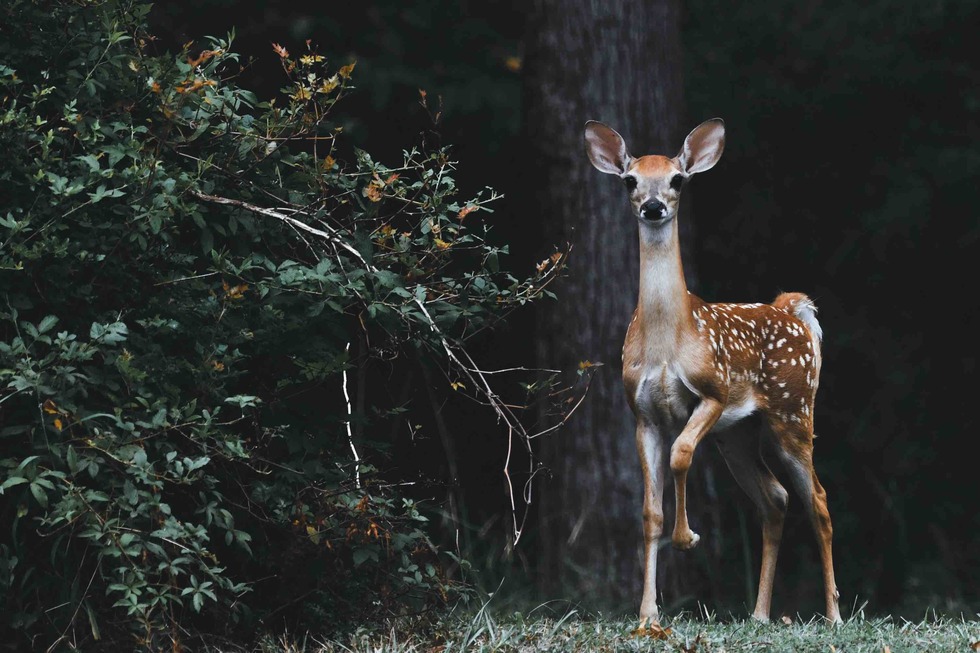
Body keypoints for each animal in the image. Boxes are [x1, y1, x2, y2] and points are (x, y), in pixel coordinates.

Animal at [583, 118, 842, 628]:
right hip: (738, 435)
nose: (654, 206)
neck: (668, 341)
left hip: (793, 411)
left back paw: (834, 615)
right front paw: (648, 614)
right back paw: (759, 614)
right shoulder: (642, 414)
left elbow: (681, 455)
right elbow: (650, 512)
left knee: (818, 501)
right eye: (630, 181)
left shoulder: (713, 392)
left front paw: (688, 538)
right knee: (775, 499)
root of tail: (793, 310)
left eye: (678, 179)